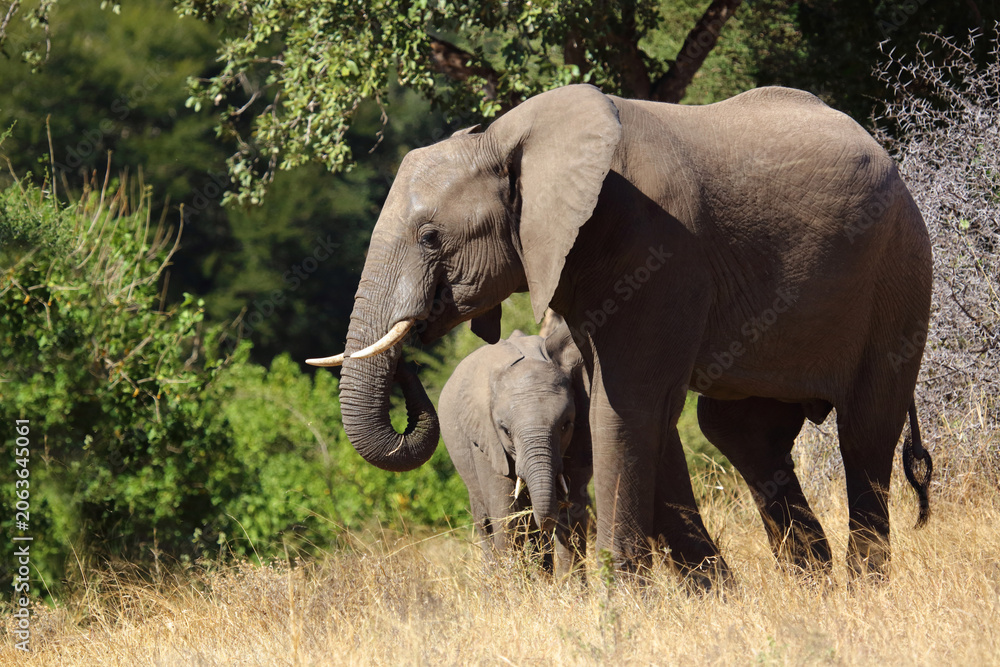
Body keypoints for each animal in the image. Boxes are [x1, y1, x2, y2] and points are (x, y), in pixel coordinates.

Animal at [440, 320, 592, 576]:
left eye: (565, 425)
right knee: (485, 523)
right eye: (506, 431)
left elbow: (575, 512)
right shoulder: (486, 439)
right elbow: (507, 517)